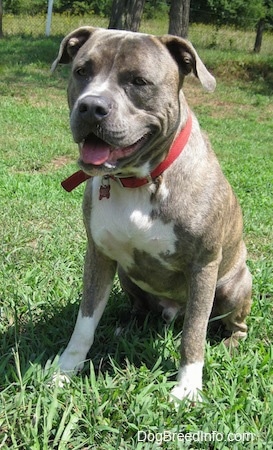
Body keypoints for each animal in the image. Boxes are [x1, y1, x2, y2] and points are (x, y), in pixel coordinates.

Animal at [51, 28, 251, 400]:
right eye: (82, 71)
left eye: (139, 81)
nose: (91, 106)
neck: (138, 180)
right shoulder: (98, 255)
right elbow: (84, 322)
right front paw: (64, 370)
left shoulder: (203, 266)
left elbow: (193, 334)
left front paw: (188, 388)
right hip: (127, 275)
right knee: (141, 306)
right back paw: (127, 327)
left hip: (235, 284)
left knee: (232, 324)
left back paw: (230, 344)